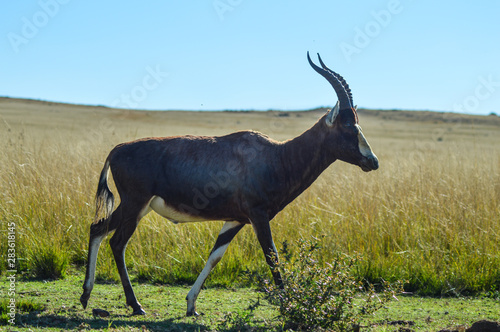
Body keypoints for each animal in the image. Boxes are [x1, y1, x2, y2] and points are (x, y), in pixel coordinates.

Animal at [80, 52, 378, 316]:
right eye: (349, 127)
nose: (372, 161)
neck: (276, 155)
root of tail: (116, 150)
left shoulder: (235, 220)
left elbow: (215, 256)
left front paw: (191, 305)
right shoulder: (258, 217)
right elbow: (272, 256)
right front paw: (288, 307)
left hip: (132, 207)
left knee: (97, 228)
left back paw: (86, 296)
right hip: (135, 205)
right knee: (116, 242)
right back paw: (135, 305)